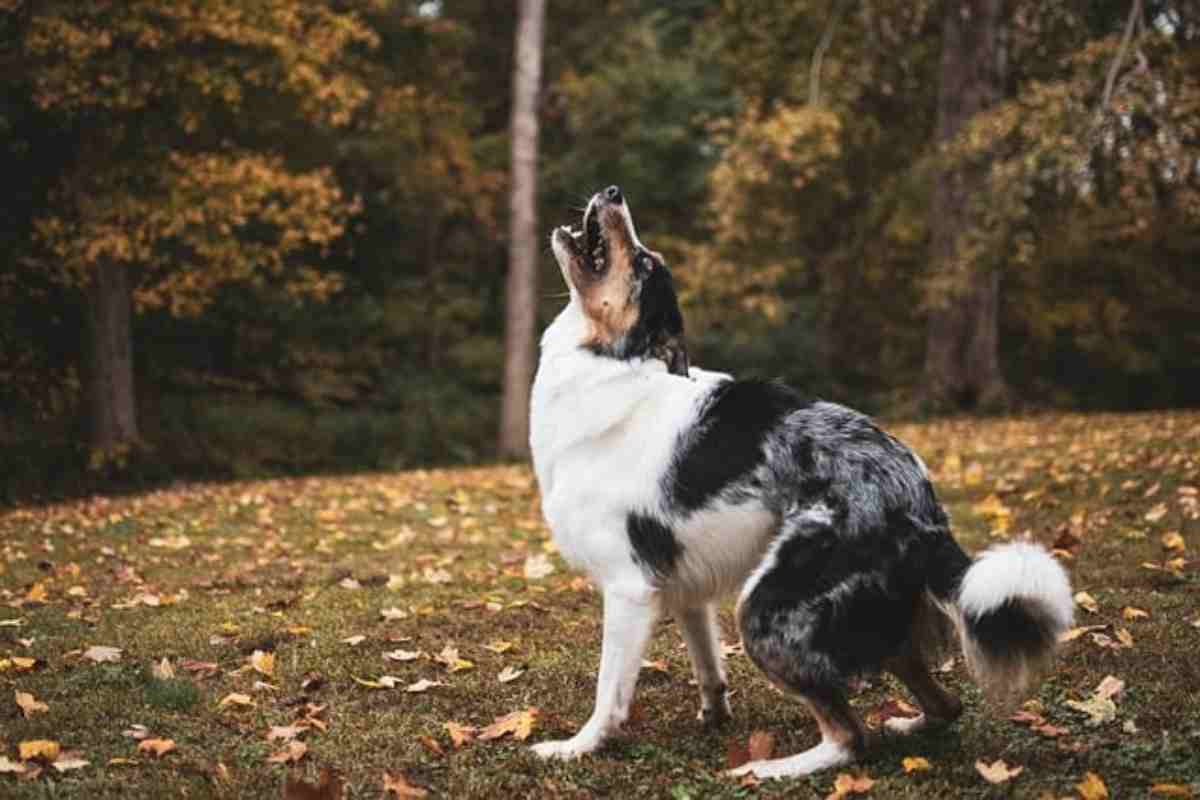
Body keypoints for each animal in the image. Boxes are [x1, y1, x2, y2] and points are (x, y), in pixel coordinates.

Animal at [530, 184, 1075, 777]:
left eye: (645, 261)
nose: (613, 193)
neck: (611, 364)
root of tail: (921, 501)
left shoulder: (628, 588)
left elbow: (609, 692)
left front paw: (578, 746)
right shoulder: (681, 586)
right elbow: (707, 665)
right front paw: (714, 716)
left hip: (766, 609)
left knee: (850, 736)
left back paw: (769, 769)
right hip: (871, 623)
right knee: (945, 705)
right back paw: (908, 724)